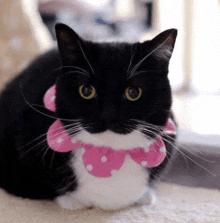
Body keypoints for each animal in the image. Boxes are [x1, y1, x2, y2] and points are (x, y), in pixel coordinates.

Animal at [0, 23, 177, 210]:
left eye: (133, 92)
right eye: (86, 91)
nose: (108, 115)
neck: (107, 154)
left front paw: (145, 196)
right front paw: (71, 201)